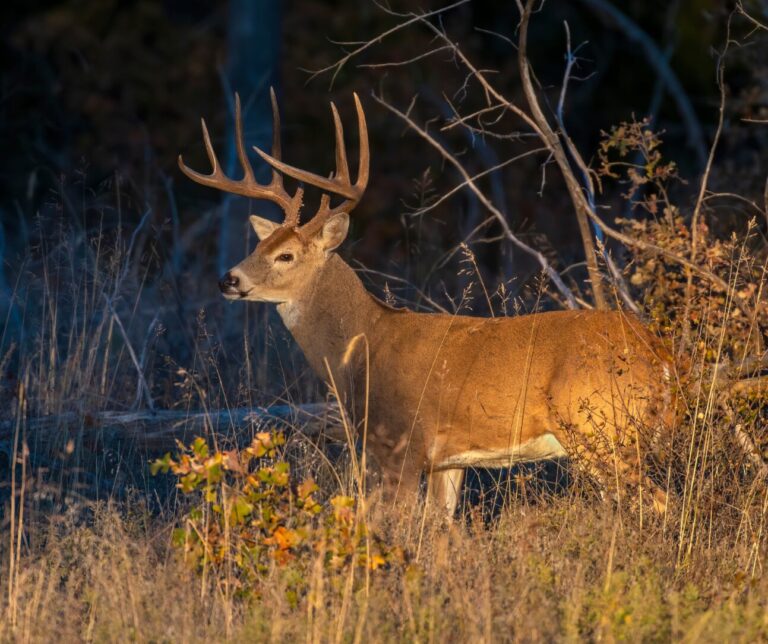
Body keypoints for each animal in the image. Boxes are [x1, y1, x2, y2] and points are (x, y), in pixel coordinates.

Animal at [179, 90, 676, 519]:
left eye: (286, 255)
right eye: (259, 246)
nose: (228, 279)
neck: (364, 346)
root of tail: (660, 354)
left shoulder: (402, 443)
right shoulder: (449, 460)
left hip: (602, 430)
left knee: (658, 502)